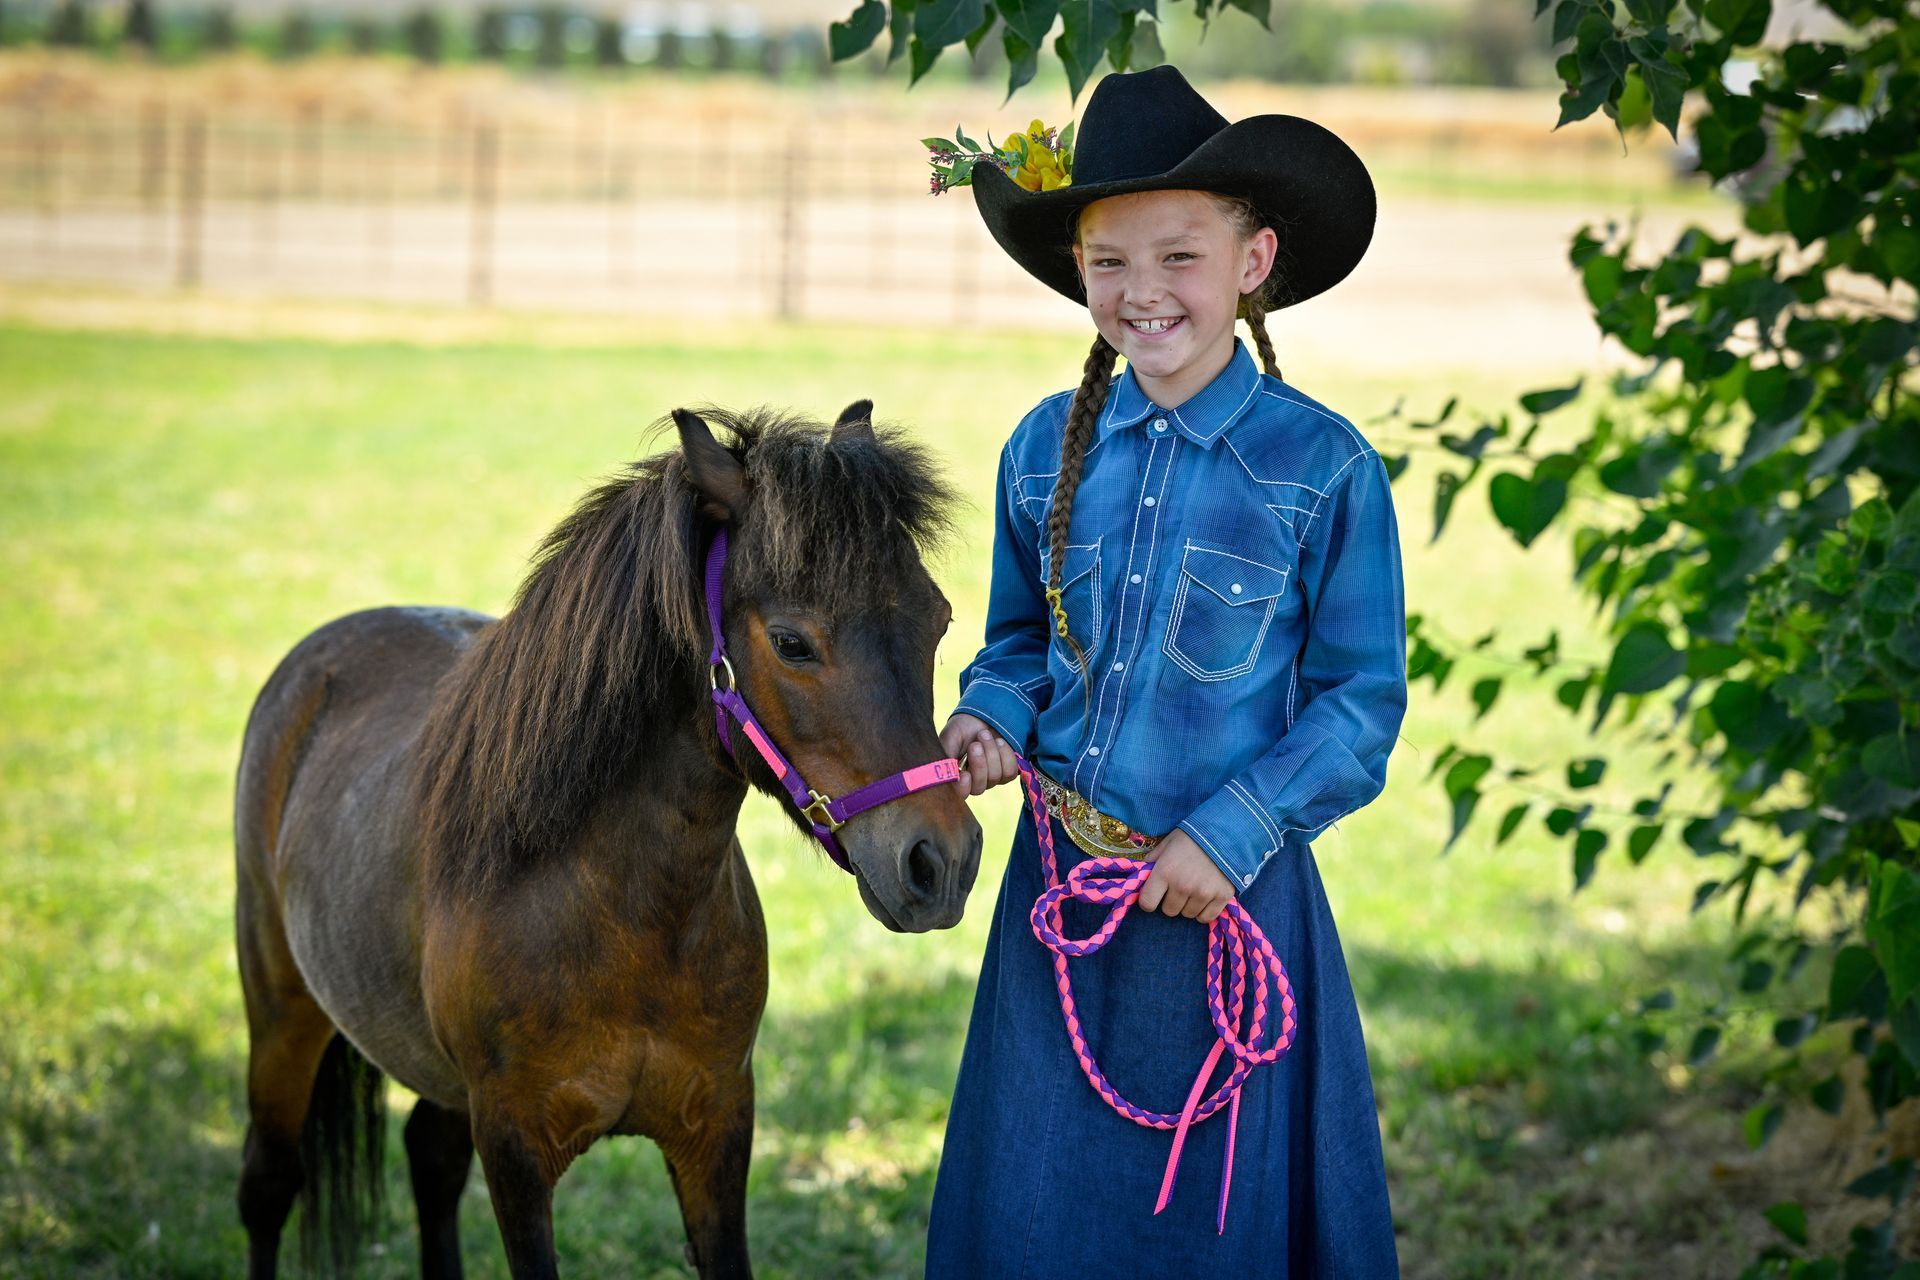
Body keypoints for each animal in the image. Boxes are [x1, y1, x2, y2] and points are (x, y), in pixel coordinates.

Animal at [233, 402, 983, 1279]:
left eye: (937, 620)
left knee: (429, 1158)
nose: (940, 863)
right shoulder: (516, 1151)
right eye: (793, 642)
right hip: (281, 1017)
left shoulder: (717, 1132)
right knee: (269, 1184)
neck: (626, 913)